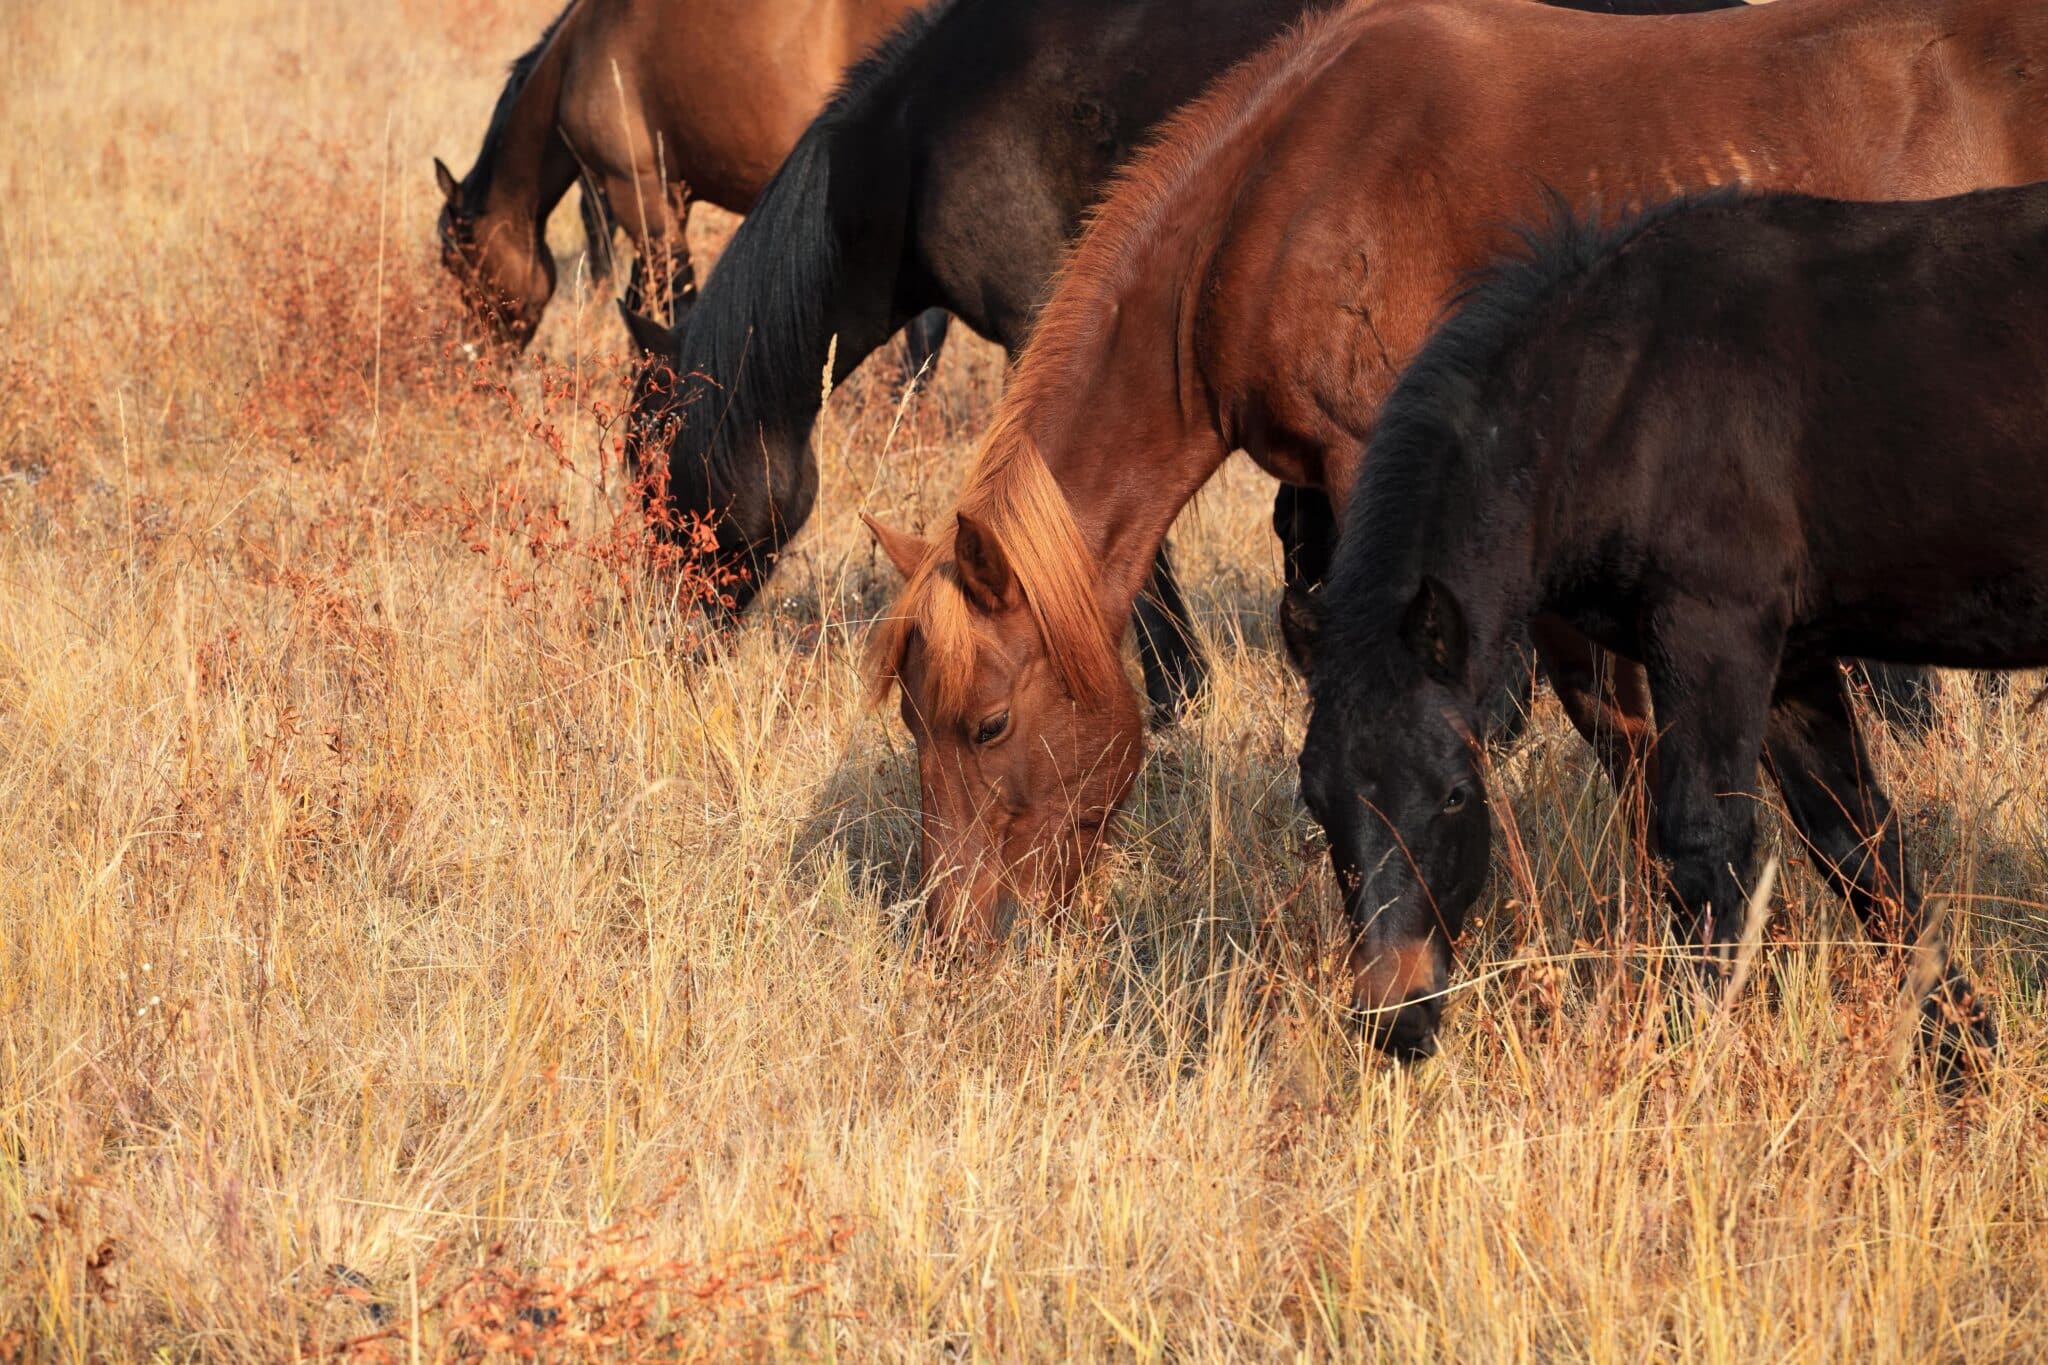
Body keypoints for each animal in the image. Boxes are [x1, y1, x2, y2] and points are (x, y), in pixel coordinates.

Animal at [432, 0, 933, 350]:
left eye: (457, 262)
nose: (476, 353)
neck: (580, 52)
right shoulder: (670, 199)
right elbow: (640, 304)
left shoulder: (634, 191)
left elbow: (675, 306)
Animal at [1299, 183, 2048, 1067]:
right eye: (1317, 800)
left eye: (1455, 794)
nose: (1396, 1017)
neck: (1617, 394)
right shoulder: (1793, 661)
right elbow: (1859, 844)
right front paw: (1968, 1058)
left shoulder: (1714, 636)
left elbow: (1703, 844)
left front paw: (1680, 1057)